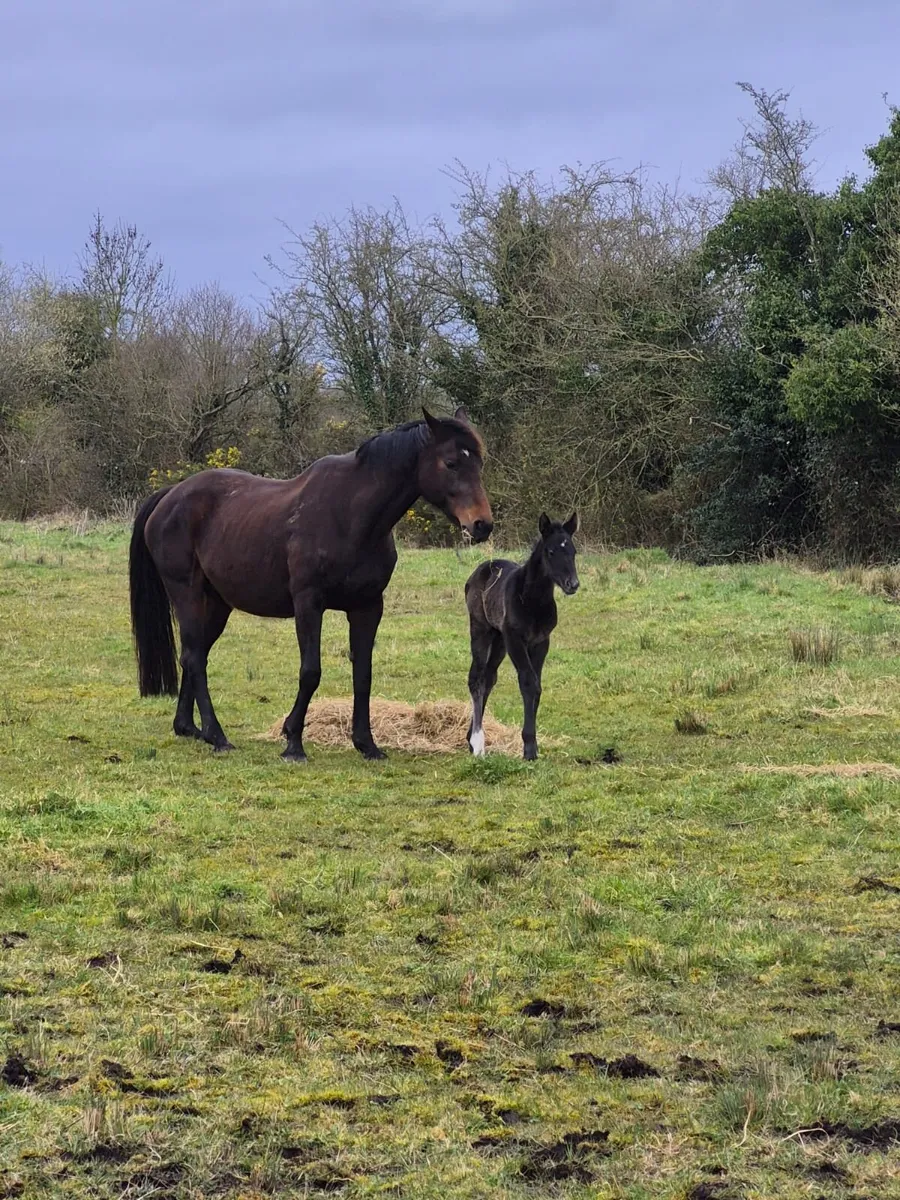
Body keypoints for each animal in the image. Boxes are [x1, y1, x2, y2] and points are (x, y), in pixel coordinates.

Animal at [129, 407, 492, 762]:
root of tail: (170, 496)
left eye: (479, 463)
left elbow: (363, 674)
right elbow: (310, 671)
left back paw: (190, 728)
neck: (351, 515)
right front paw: (293, 743)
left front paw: (367, 744)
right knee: (194, 658)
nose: (482, 524)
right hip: (186, 593)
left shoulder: (368, 607)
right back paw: (217, 736)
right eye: (451, 463)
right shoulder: (308, 603)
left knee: (195, 654)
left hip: (217, 603)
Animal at [464, 512, 579, 761]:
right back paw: (477, 741)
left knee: (488, 678)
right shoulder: (515, 640)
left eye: (573, 551)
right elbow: (528, 682)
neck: (533, 600)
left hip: (499, 639)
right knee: (476, 678)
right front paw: (529, 748)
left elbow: (537, 686)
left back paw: (470, 738)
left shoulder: (542, 641)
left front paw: (532, 745)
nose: (573, 584)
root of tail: (479, 570)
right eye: (551, 551)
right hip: (481, 630)